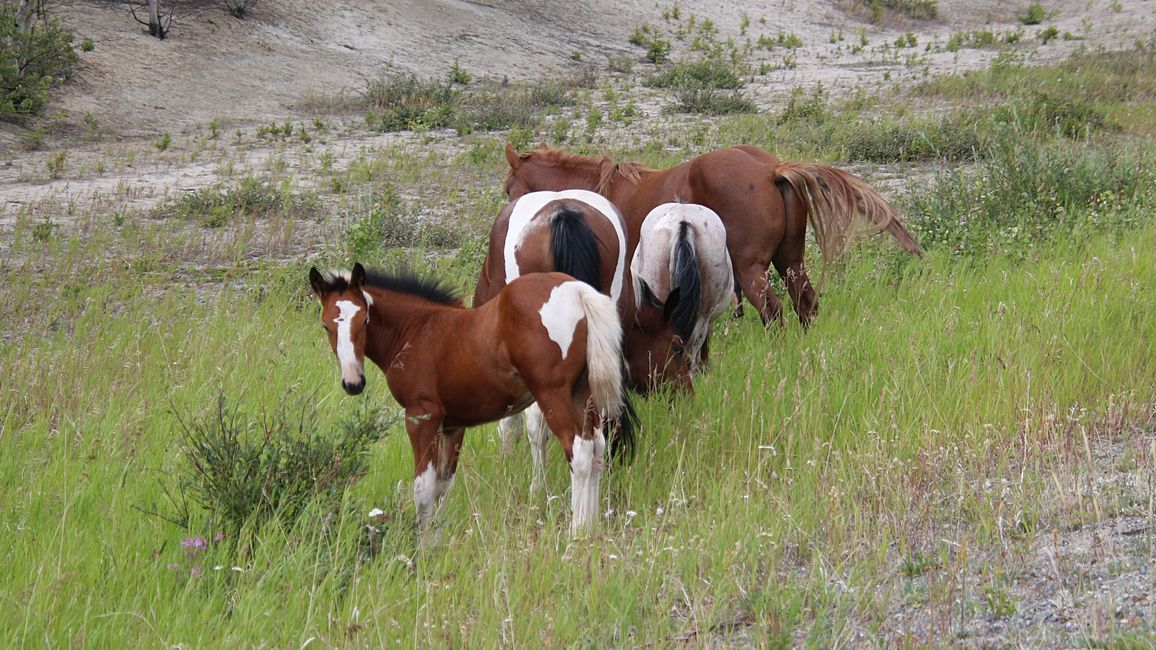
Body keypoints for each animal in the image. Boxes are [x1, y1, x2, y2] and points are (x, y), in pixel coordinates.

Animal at [309, 260, 633, 534]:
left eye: (364, 320)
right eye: (325, 325)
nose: (353, 382)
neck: (416, 331)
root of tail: (577, 291)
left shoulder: (421, 416)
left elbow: (422, 488)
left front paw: (420, 547)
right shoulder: (452, 424)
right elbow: (442, 484)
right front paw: (435, 539)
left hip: (552, 393)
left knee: (579, 450)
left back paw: (576, 533)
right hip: (582, 394)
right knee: (597, 446)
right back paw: (592, 527)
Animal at [504, 145, 920, 328]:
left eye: (509, 188)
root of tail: (771, 169)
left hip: (753, 270)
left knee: (774, 312)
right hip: (790, 262)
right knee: (806, 304)